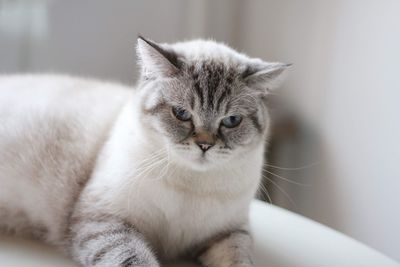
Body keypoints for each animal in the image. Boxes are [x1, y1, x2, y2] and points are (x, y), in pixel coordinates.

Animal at [0, 36, 288, 267]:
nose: (205, 145)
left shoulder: (228, 233)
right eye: (181, 114)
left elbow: (239, 260)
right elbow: (135, 260)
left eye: (231, 121)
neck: (191, 183)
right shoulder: (105, 222)